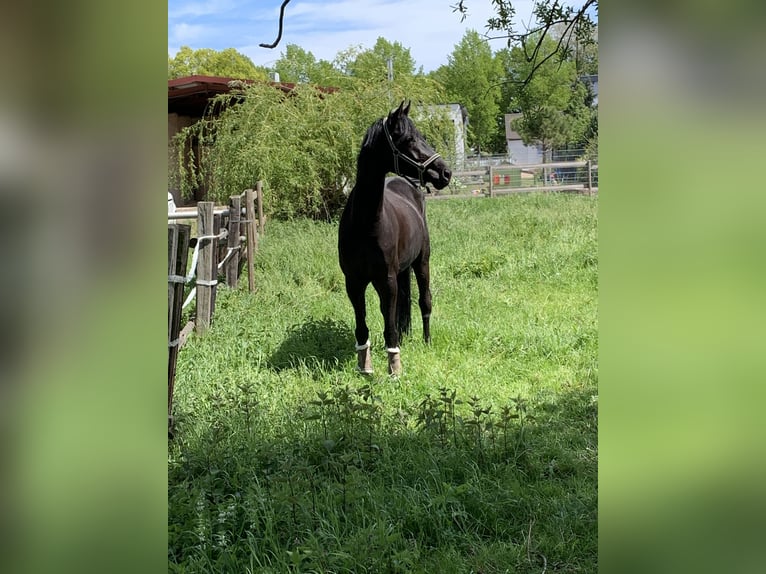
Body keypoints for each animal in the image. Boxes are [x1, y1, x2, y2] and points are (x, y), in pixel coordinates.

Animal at [338, 101, 452, 376]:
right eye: (409, 139)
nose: (446, 173)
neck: (366, 224)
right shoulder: (353, 282)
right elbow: (362, 325)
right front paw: (364, 366)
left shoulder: (386, 281)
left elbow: (389, 324)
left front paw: (394, 369)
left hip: (422, 262)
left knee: (424, 301)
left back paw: (426, 341)